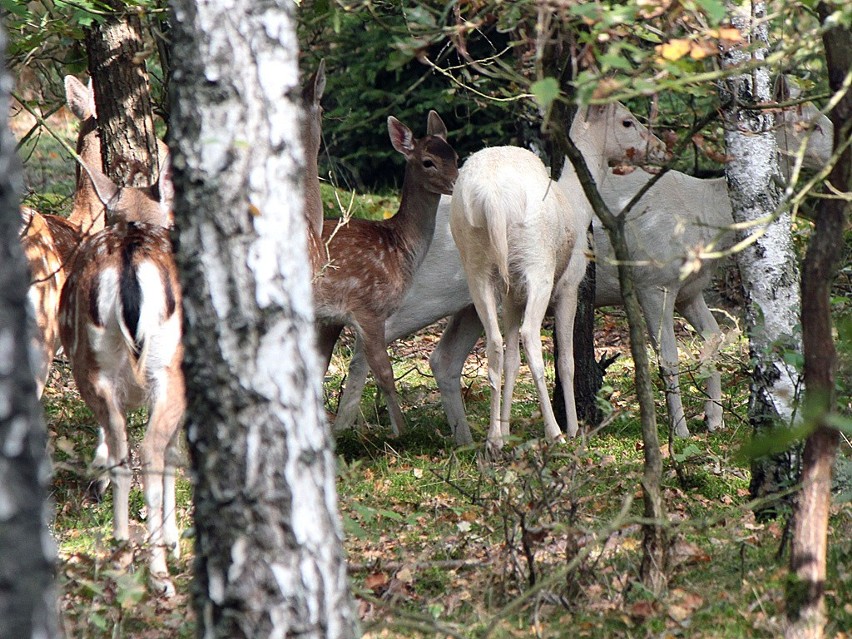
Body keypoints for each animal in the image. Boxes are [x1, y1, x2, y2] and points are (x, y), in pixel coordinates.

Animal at [58, 151, 183, 600]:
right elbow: (174, 454)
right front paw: (174, 539)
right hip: (169, 368)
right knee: (150, 453)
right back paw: (159, 571)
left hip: (92, 367)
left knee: (122, 457)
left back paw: (123, 554)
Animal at [314, 112, 460, 438]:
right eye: (428, 161)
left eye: (455, 156)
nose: (457, 184)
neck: (398, 245)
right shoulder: (368, 307)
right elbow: (383, 371)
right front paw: (402, 432)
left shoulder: (333, 318)